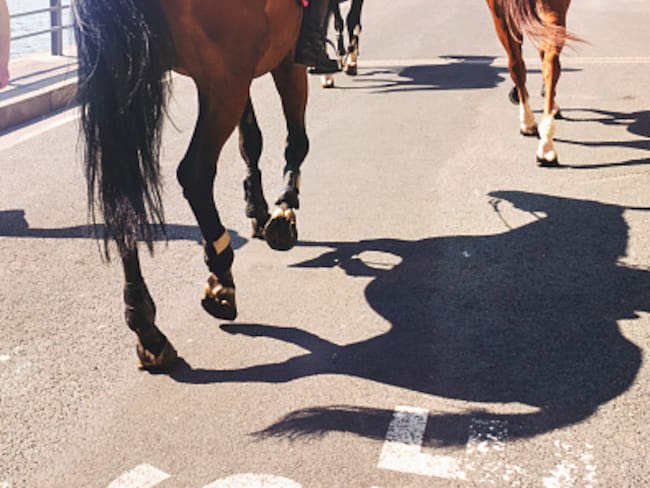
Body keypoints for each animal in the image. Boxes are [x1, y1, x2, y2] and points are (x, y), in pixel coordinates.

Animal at [73, 0, 311, 371]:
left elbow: (251, 138)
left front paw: (259, 209)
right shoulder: (283, 57)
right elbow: (295, 139)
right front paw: (284, 209)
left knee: (122, 196)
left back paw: (145, 326)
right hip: (223, 79)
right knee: (195, 174)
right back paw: (220, 275)